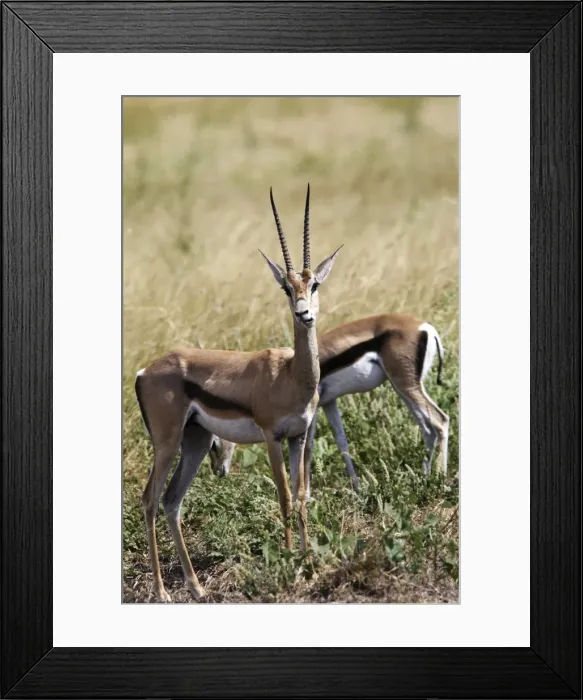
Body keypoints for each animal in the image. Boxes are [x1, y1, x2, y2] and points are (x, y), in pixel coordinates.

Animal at [135, 185, 341, 601]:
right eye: (286, 287)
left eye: (314, 284)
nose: (304, 314)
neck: (291, 375)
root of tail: (145, 370)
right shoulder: (272, 437)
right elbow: (283, 496)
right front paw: (289, 564)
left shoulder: (299, 437)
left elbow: (301, 497)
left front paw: (309, 566)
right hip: (166, 444)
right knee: (150, 500)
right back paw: (163, 592)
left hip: (196, 442)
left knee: (171, 501)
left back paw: (196, 587)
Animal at [210, 314, 450, 495]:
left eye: (213, 444)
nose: (218, 471)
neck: (289, 371)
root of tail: (424, 327)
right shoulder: (329, 402)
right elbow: (341, 442)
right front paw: (357, 489)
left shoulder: (311, 410)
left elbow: (308, 446)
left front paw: (306, 495)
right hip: (402, 387)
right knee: (427, 429)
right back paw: (423, 477)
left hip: (405, 384)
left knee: (441, 420)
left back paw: (440, 479)